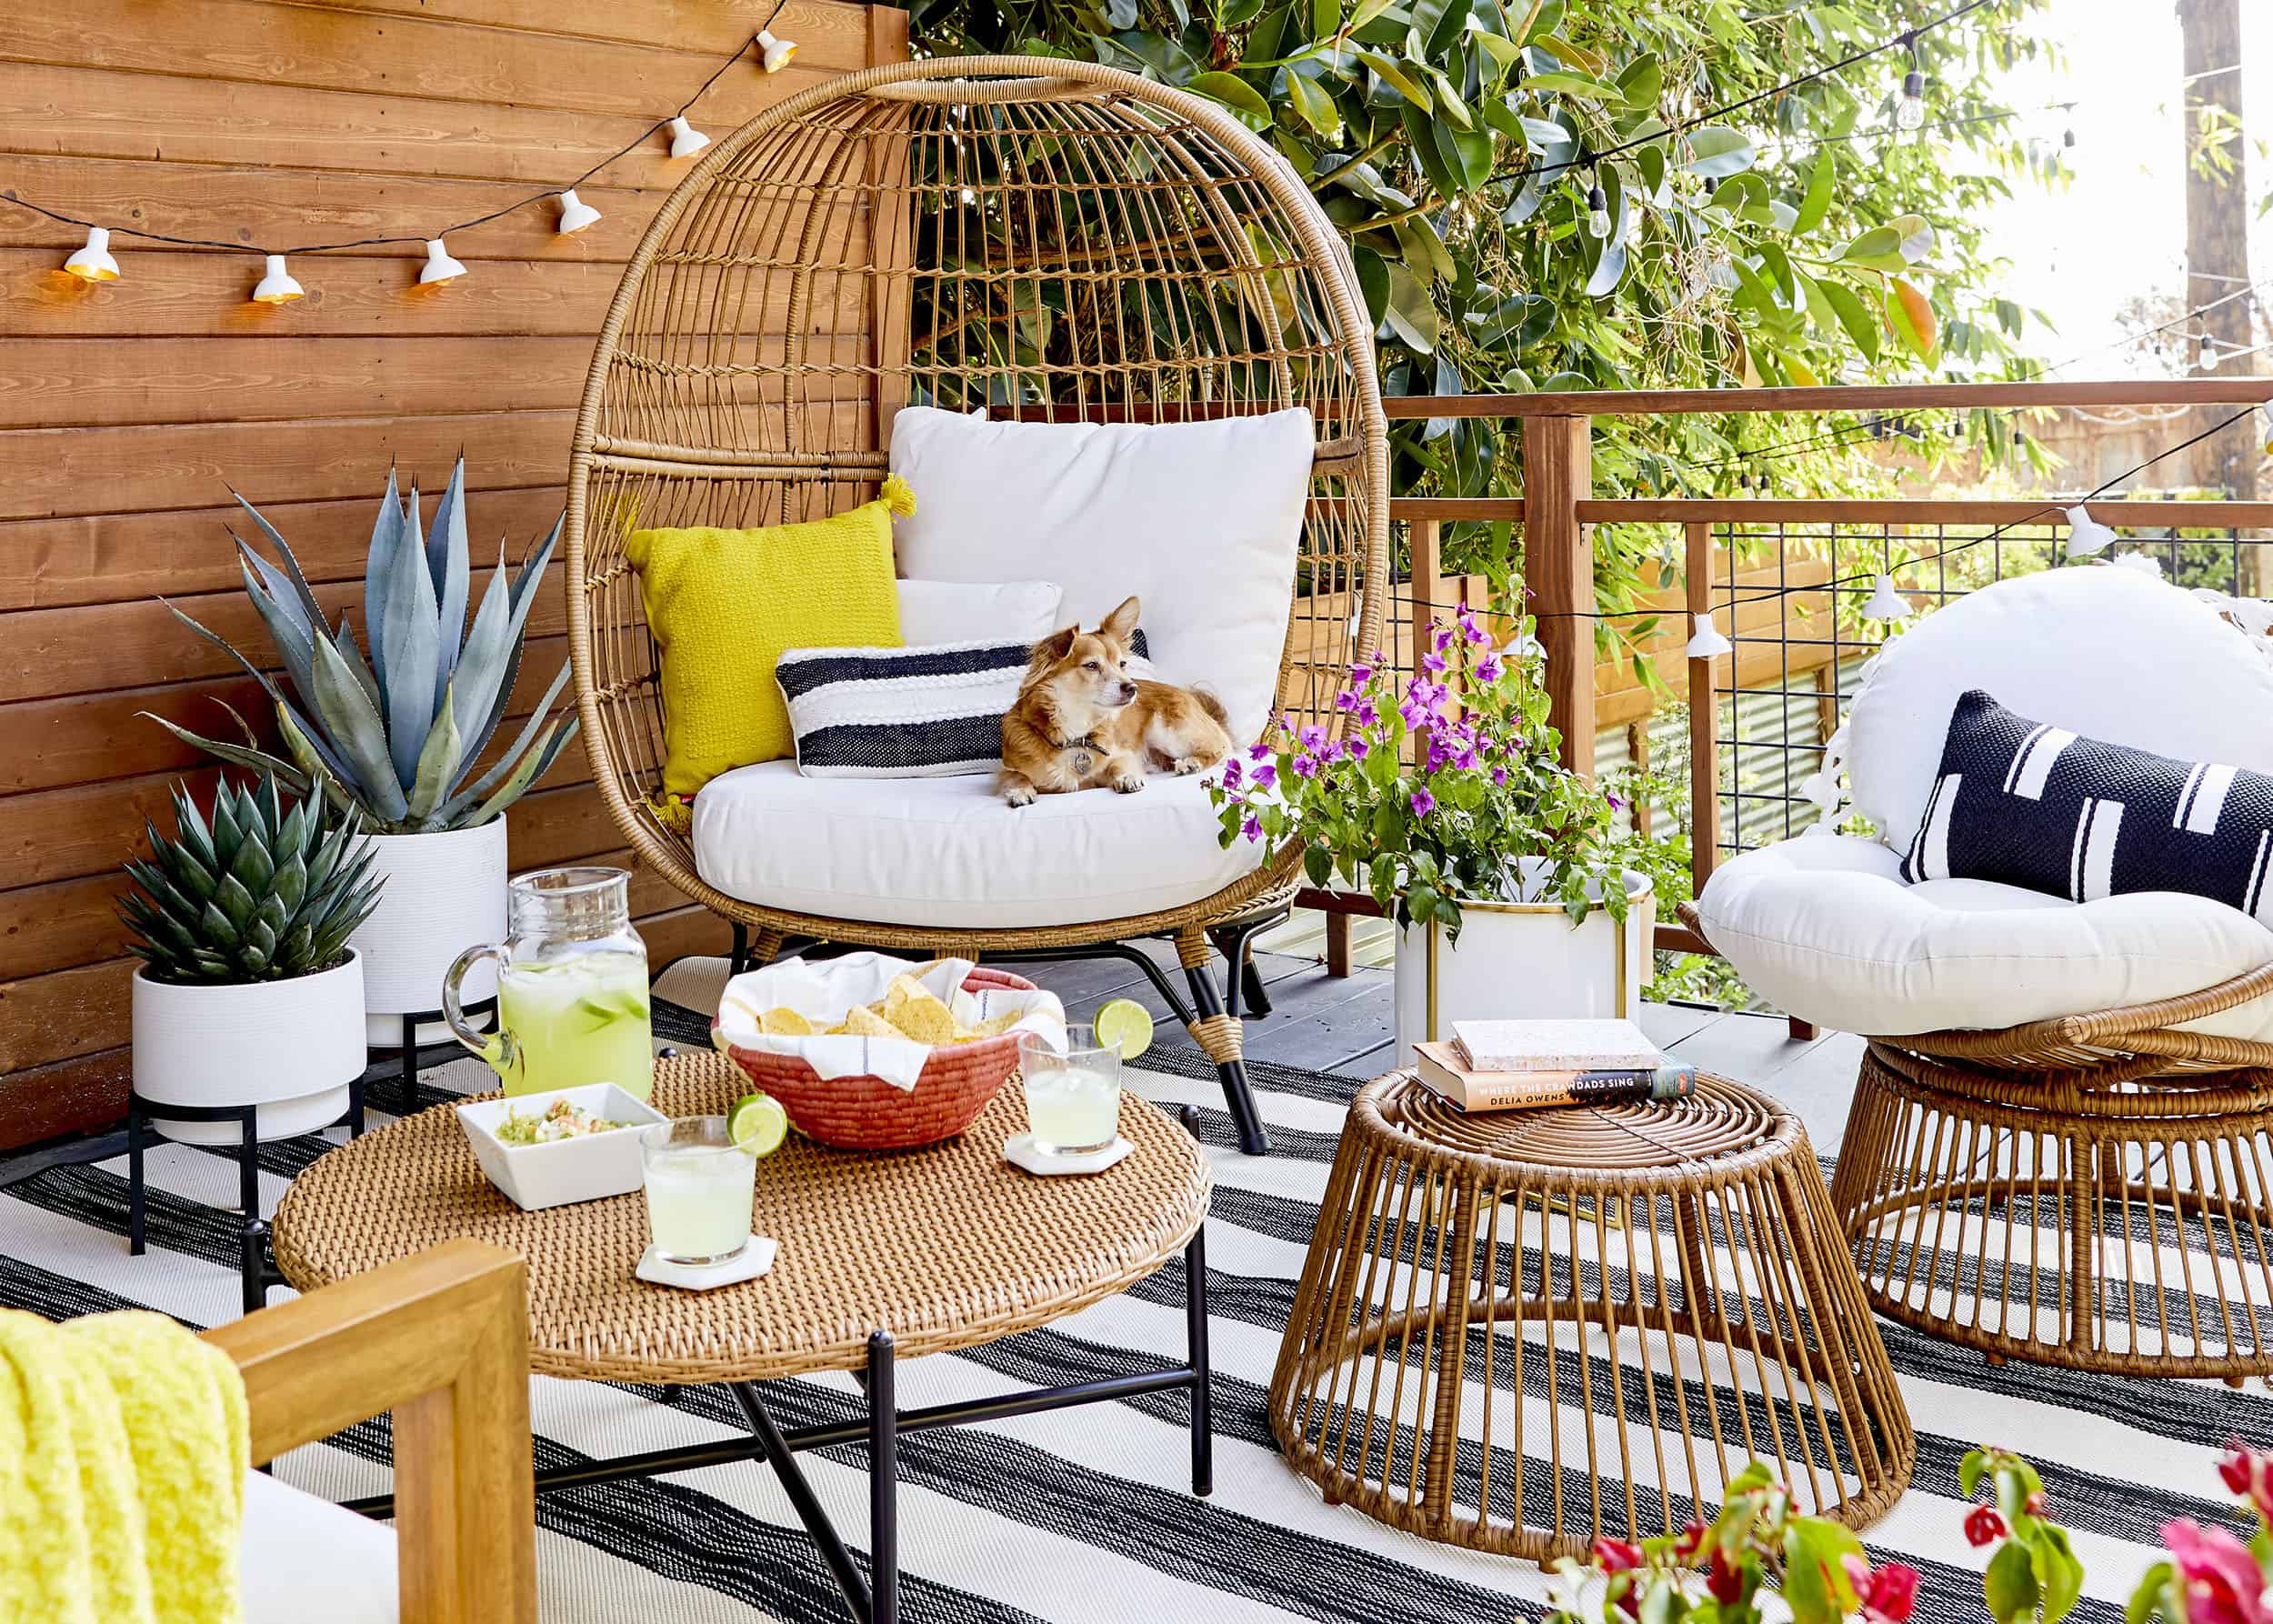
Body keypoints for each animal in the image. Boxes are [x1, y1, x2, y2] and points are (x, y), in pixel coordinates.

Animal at [1000, 596, 1237, 805]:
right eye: (1092, 665)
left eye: (1122, 664)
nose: (1132, 688)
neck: (1076, 734)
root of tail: (1193, 698)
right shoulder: (1005, 771)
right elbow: (1015, 776)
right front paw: (1020, 791)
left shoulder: (1123, 754)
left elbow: (1118, 764)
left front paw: (1127, 777)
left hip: (1168, 731)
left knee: (1222, 749)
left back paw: (1191, 763)